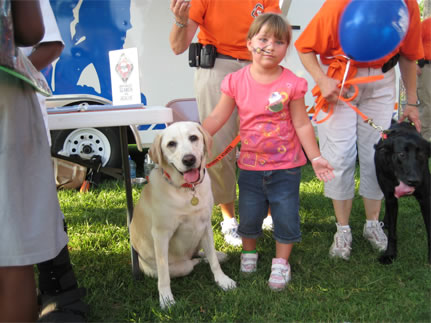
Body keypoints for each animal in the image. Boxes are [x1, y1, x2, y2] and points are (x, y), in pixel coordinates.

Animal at [130, 121, 236, 308]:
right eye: (171, 144)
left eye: (193, 137)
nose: (189, 159)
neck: (187, 190)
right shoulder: (161, 235)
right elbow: (164, 275)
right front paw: (166, 299)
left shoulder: (205, 226)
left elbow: (214, 261)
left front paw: (222, 280)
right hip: (176, 266)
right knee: (189, 263)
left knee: (201, 255)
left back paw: (217, 255)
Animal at [374, 121, 431, 266]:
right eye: (401, 154)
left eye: (421, 155)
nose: (414, 180)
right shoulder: (391, 197)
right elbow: (393, 233)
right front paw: (390, 254)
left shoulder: (426, 199)